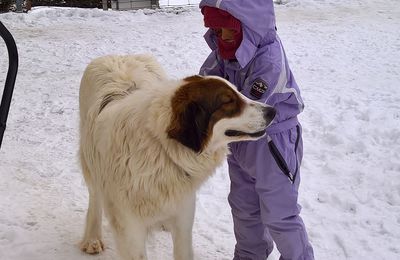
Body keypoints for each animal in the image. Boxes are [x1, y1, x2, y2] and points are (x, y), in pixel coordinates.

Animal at [78, 53, 276, 258]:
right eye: (228, 102)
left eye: (239, 92)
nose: (273, 111)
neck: (162, 149)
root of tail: (121, 56)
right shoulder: (129, 227)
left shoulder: (183, 216)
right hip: (90, 163)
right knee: (95, 198)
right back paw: (92, 237)